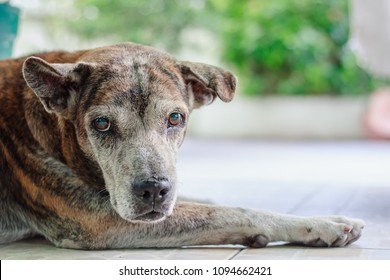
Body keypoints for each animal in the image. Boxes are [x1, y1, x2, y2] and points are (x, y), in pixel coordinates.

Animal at [0, 42, 366, 248]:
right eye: (101, 124)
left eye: (175, 118)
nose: (153, 190)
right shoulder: (100, 220)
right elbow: (230, 212)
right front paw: (323, 224)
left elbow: (211, 202)